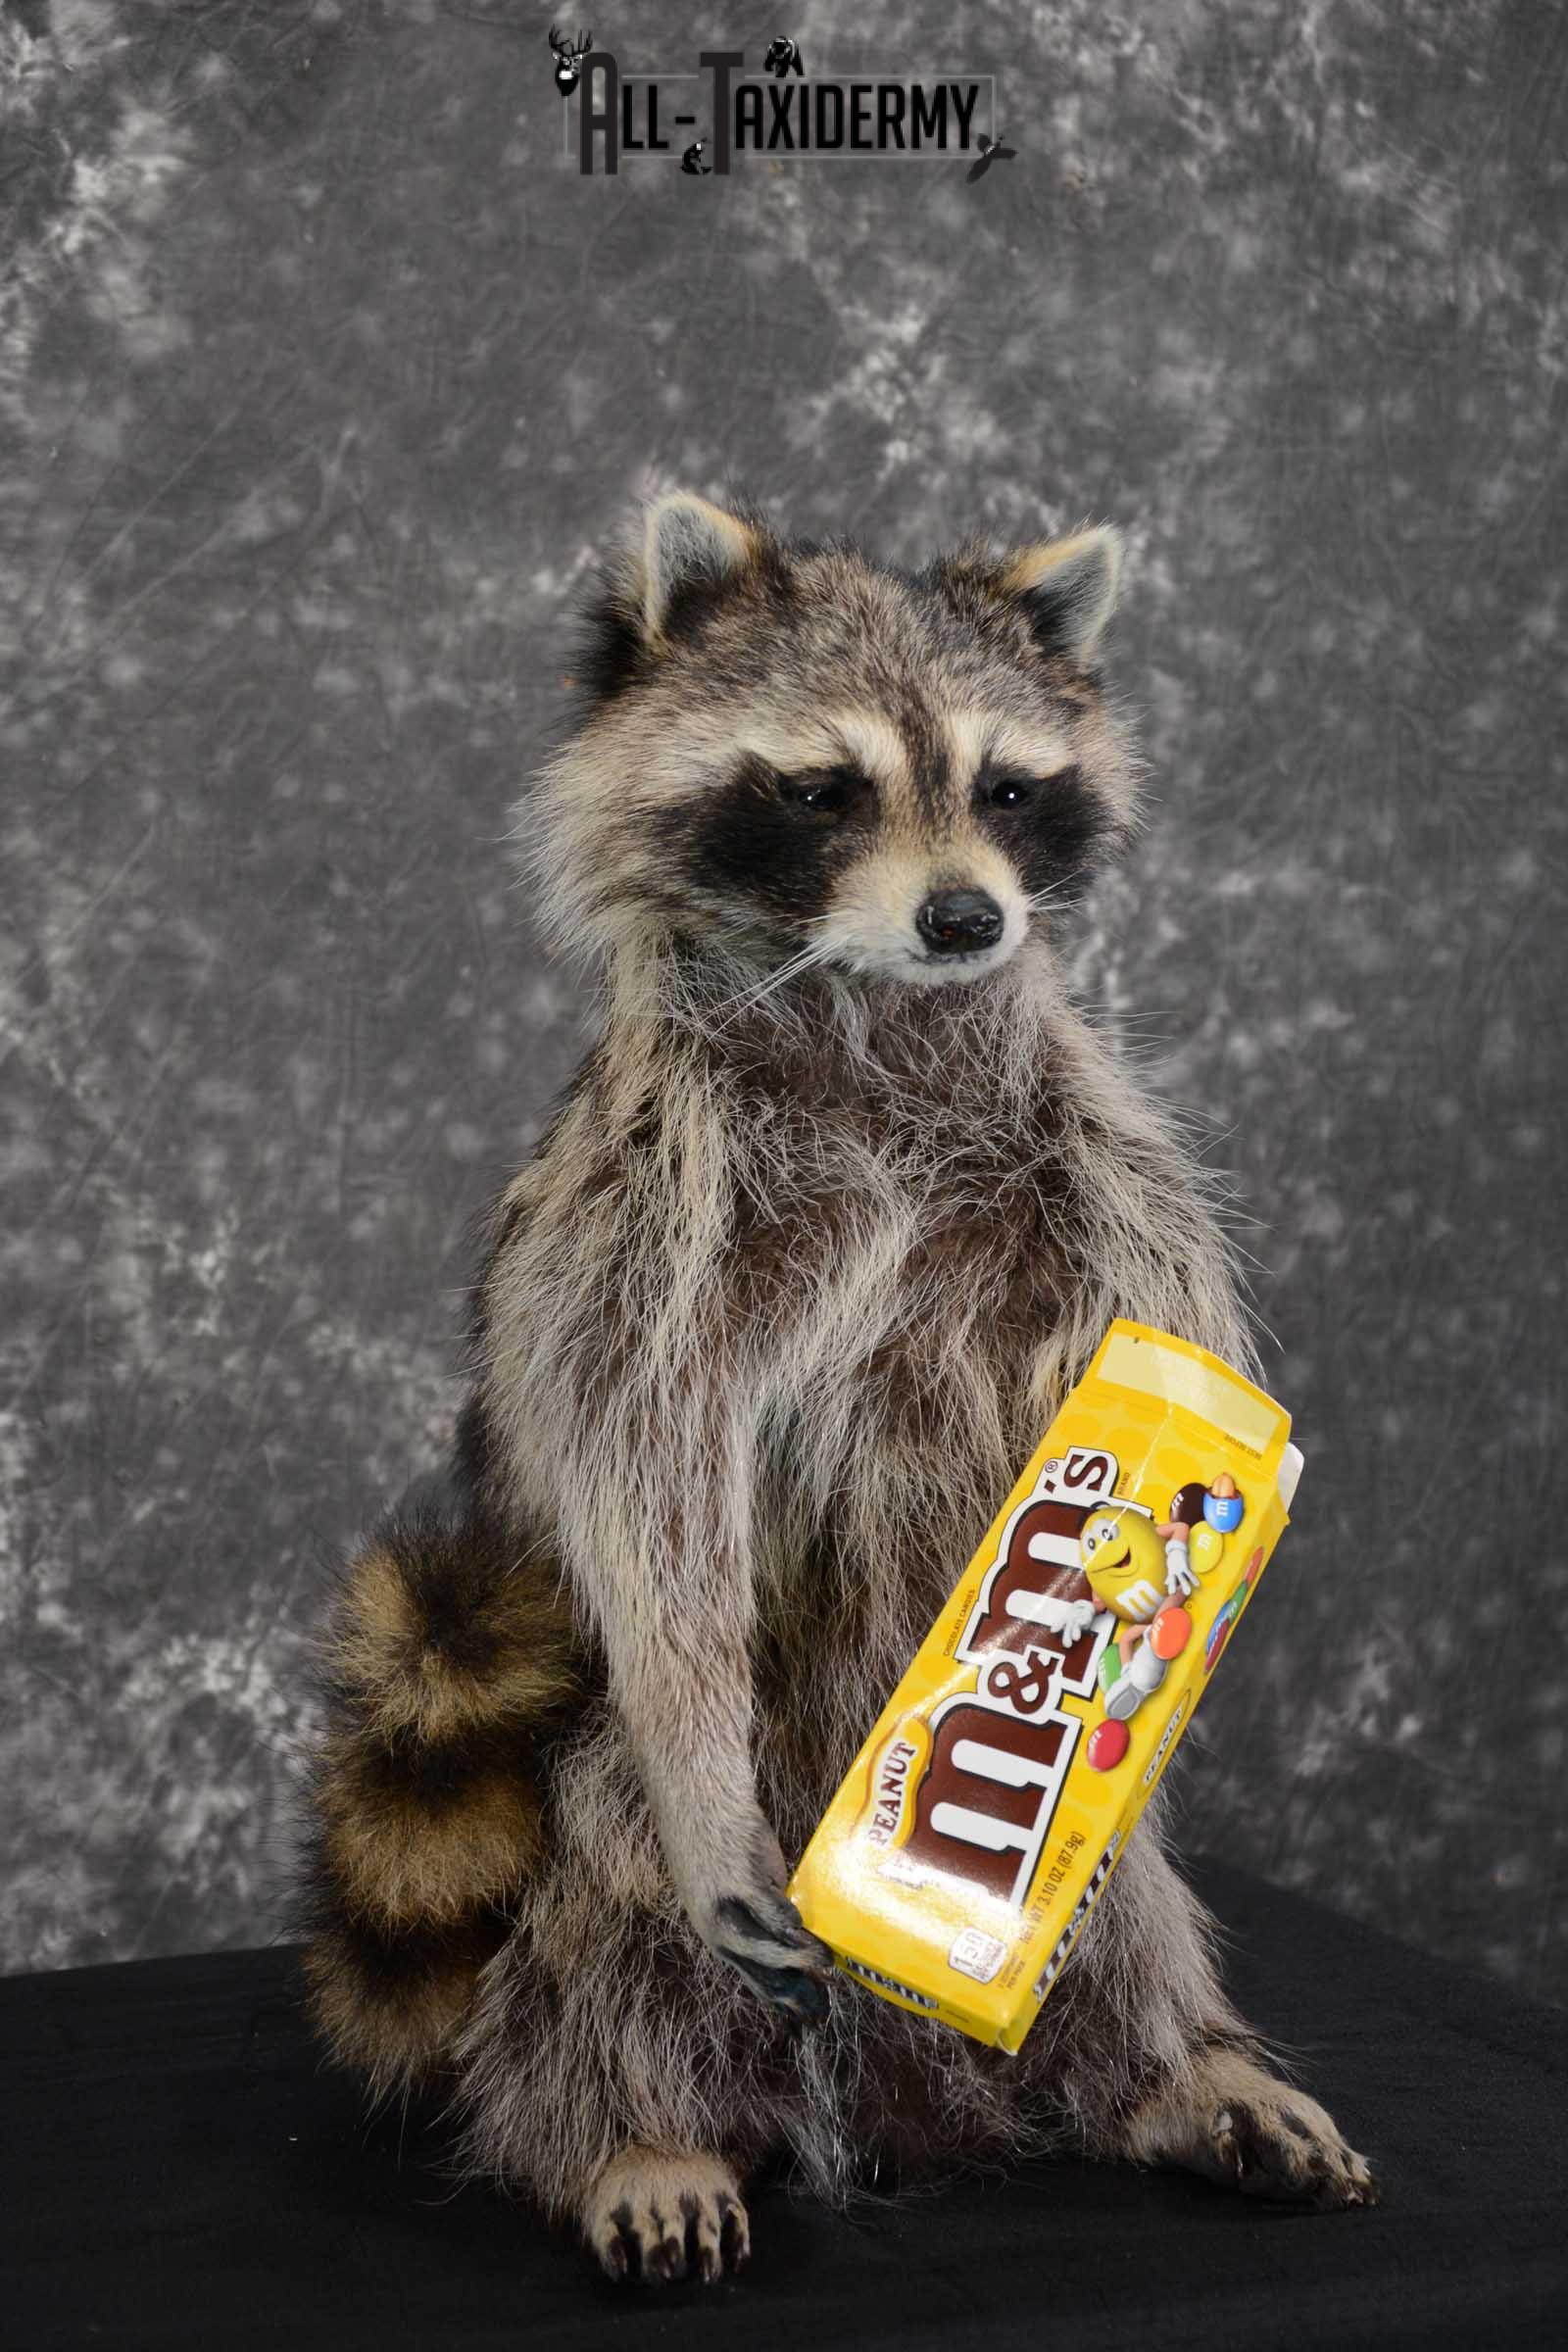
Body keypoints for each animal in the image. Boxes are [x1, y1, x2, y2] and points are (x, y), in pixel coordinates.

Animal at [300, 493, 1377, 2283]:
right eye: (824, 791)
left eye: (1005, 787)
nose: (966, 919)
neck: (883, 1010)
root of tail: (894, 2116)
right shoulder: (646, 1202)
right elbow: (648, 1473)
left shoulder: (1107, 1168)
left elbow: (1156, 1361)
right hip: (595, 1785)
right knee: (605, 1900)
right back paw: (624, 2132)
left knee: (1132, 1910)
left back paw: (1166, 2068)